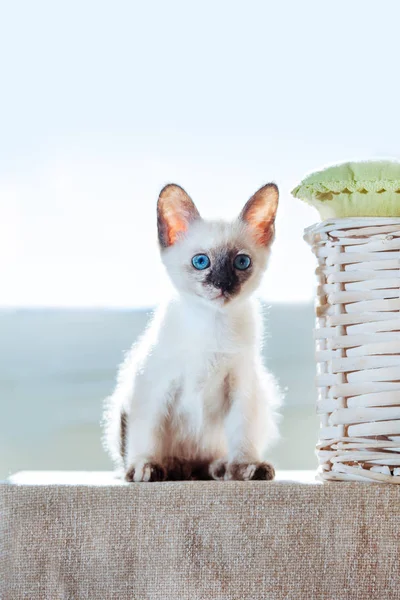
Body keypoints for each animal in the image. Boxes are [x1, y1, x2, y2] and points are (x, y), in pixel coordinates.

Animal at [103, 183, 282, 482]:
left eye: (241, 262)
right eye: (201, 261)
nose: (223, 284)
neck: (212, 324)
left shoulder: (241, 386)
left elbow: (242, 432)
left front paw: (246, 466)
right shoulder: (155, 388)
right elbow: (148, 433)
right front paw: (145, 466)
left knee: (206, 464)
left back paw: (222, 468)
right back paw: (168, 468)